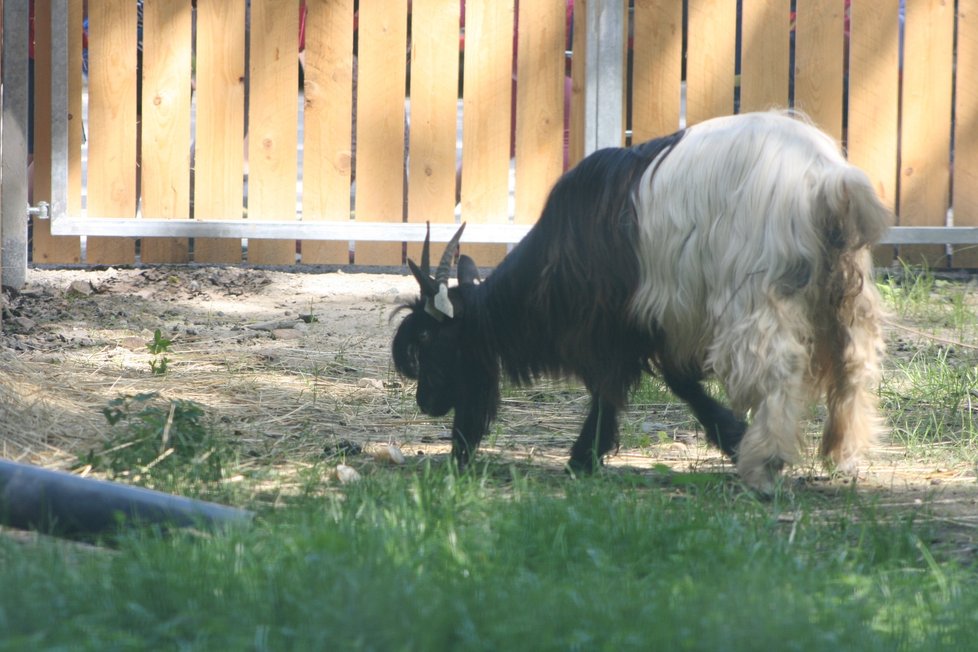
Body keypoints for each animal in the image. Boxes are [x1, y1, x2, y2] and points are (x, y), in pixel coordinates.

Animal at [392, 112, 888, 492]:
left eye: (432, 341)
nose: (425, 403)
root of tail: (826, 179)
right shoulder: (658, 322)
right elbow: (674, 383)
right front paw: (729, 434)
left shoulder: (623, 318)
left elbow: (622, 386)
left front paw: (583, 457)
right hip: (845, 288)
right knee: (854, 361)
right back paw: (843, 453)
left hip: (757, 290)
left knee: (778, 368)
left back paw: (763, 467)